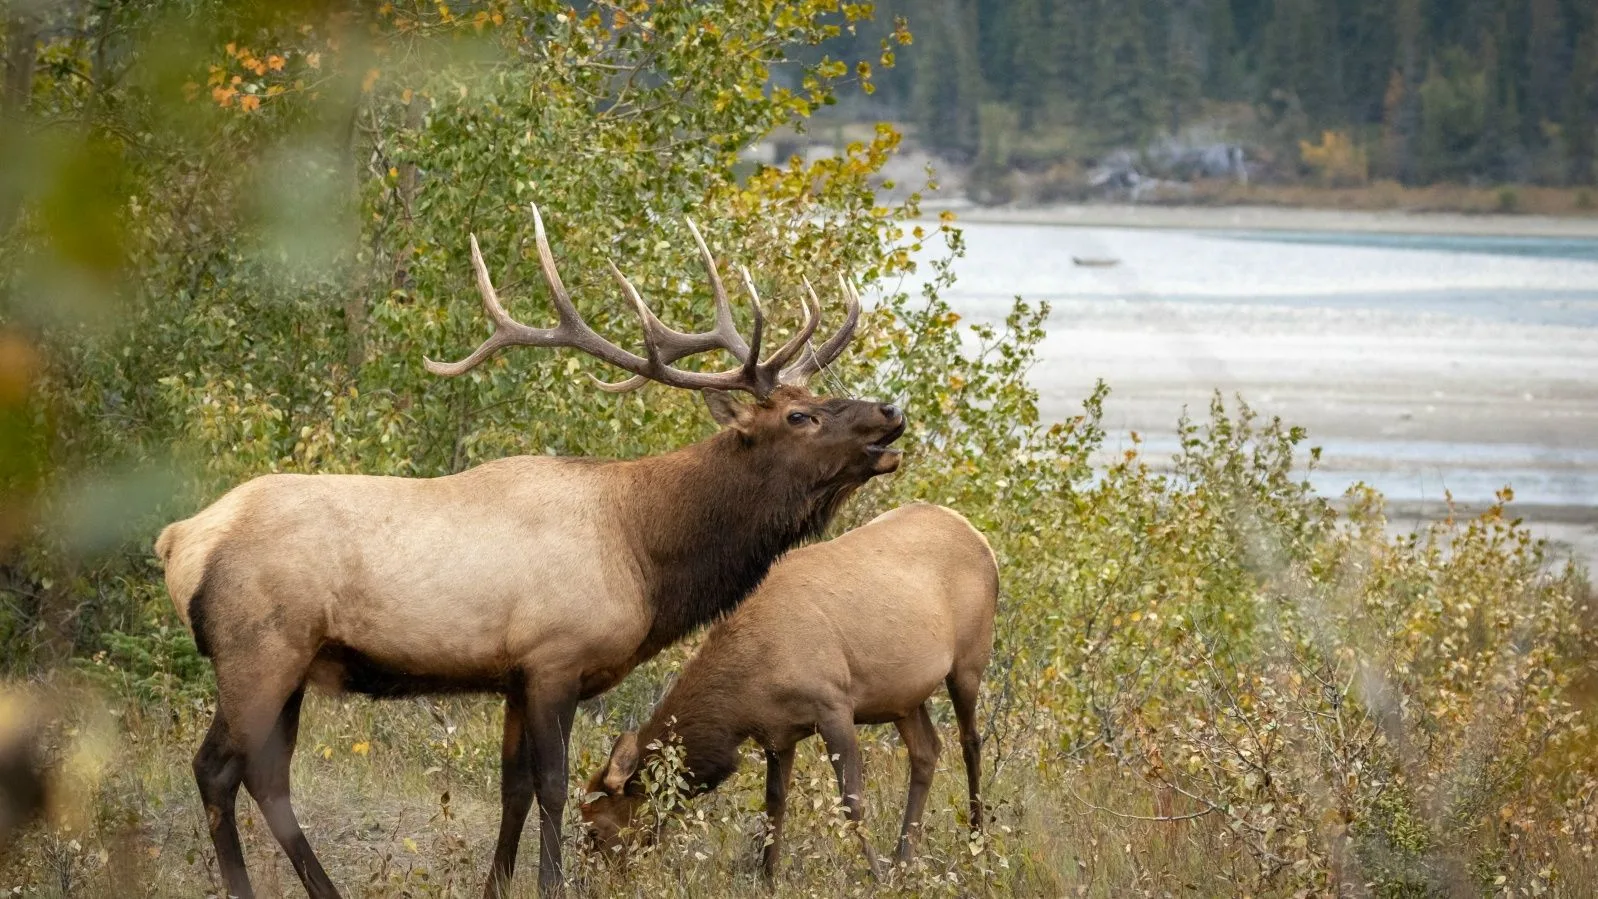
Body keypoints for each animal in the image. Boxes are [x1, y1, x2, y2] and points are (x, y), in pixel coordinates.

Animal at [152, 204, 906, 899]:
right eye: (799, 415)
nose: (891, 410)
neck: (643, 553)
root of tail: (179, 539)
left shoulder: (513, 673)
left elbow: (510, 786)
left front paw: (495, 885)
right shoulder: (554, 657)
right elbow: (551, 784)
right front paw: (552, 883)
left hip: (294, 663)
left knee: (266, 777)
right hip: (258, 650)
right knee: (217, 768)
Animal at [579, 502, 997, 881]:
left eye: (596, 830)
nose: (593, 881)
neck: (742, 696)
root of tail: (979, 538)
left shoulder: (834, 705)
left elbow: (851, 800)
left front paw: (875, 874)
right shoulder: (777, 734)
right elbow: (774, 803)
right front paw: (767, 875)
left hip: (968, 663)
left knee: (970, 742)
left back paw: (976, 842)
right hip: (902, 699)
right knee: (927, 750)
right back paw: (904, 858)